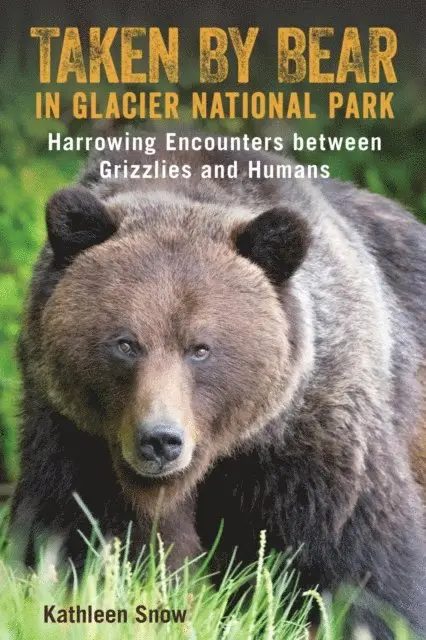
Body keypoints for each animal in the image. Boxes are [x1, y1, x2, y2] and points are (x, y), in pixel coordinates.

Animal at [10, 136, 426, 639]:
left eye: (201, 348)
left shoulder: (313, 430)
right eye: (125, 343)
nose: (160, 440)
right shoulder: (71, 430)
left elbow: (357, 558)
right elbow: (71, 531)